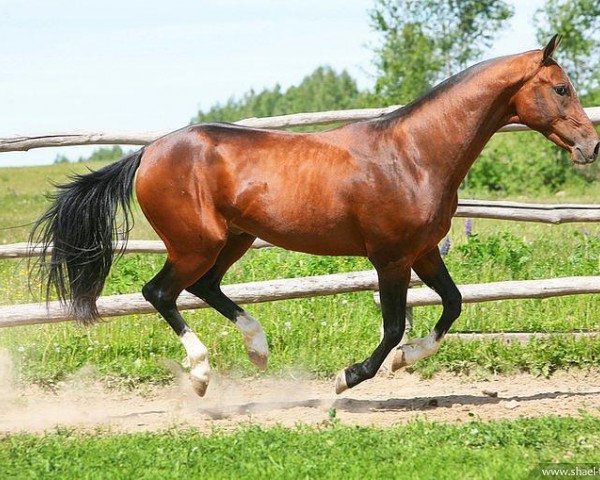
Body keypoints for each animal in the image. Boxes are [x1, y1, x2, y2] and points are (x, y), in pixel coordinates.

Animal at [31, 35, 600, 398]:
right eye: (561, 88)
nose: (592, 146)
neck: (415, 154)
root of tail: (147, 153)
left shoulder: (421, 252)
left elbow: (454, 305)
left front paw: (406, 359)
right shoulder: (390, 258)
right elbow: (393, 324)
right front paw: (349, 376)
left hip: (233, 239)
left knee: (203, 288)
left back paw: (258, 350)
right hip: (197, 242)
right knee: (160, 292)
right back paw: (201, 374)